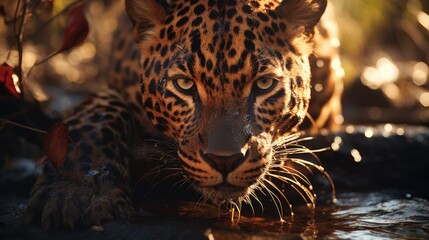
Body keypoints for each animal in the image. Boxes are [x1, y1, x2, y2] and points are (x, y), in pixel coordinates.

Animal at [24, 0, 344, 230]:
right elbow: (94, 118)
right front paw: (73, 195)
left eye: (264, 84)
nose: (224, 160)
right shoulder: (112, 90)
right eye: (184, 85)